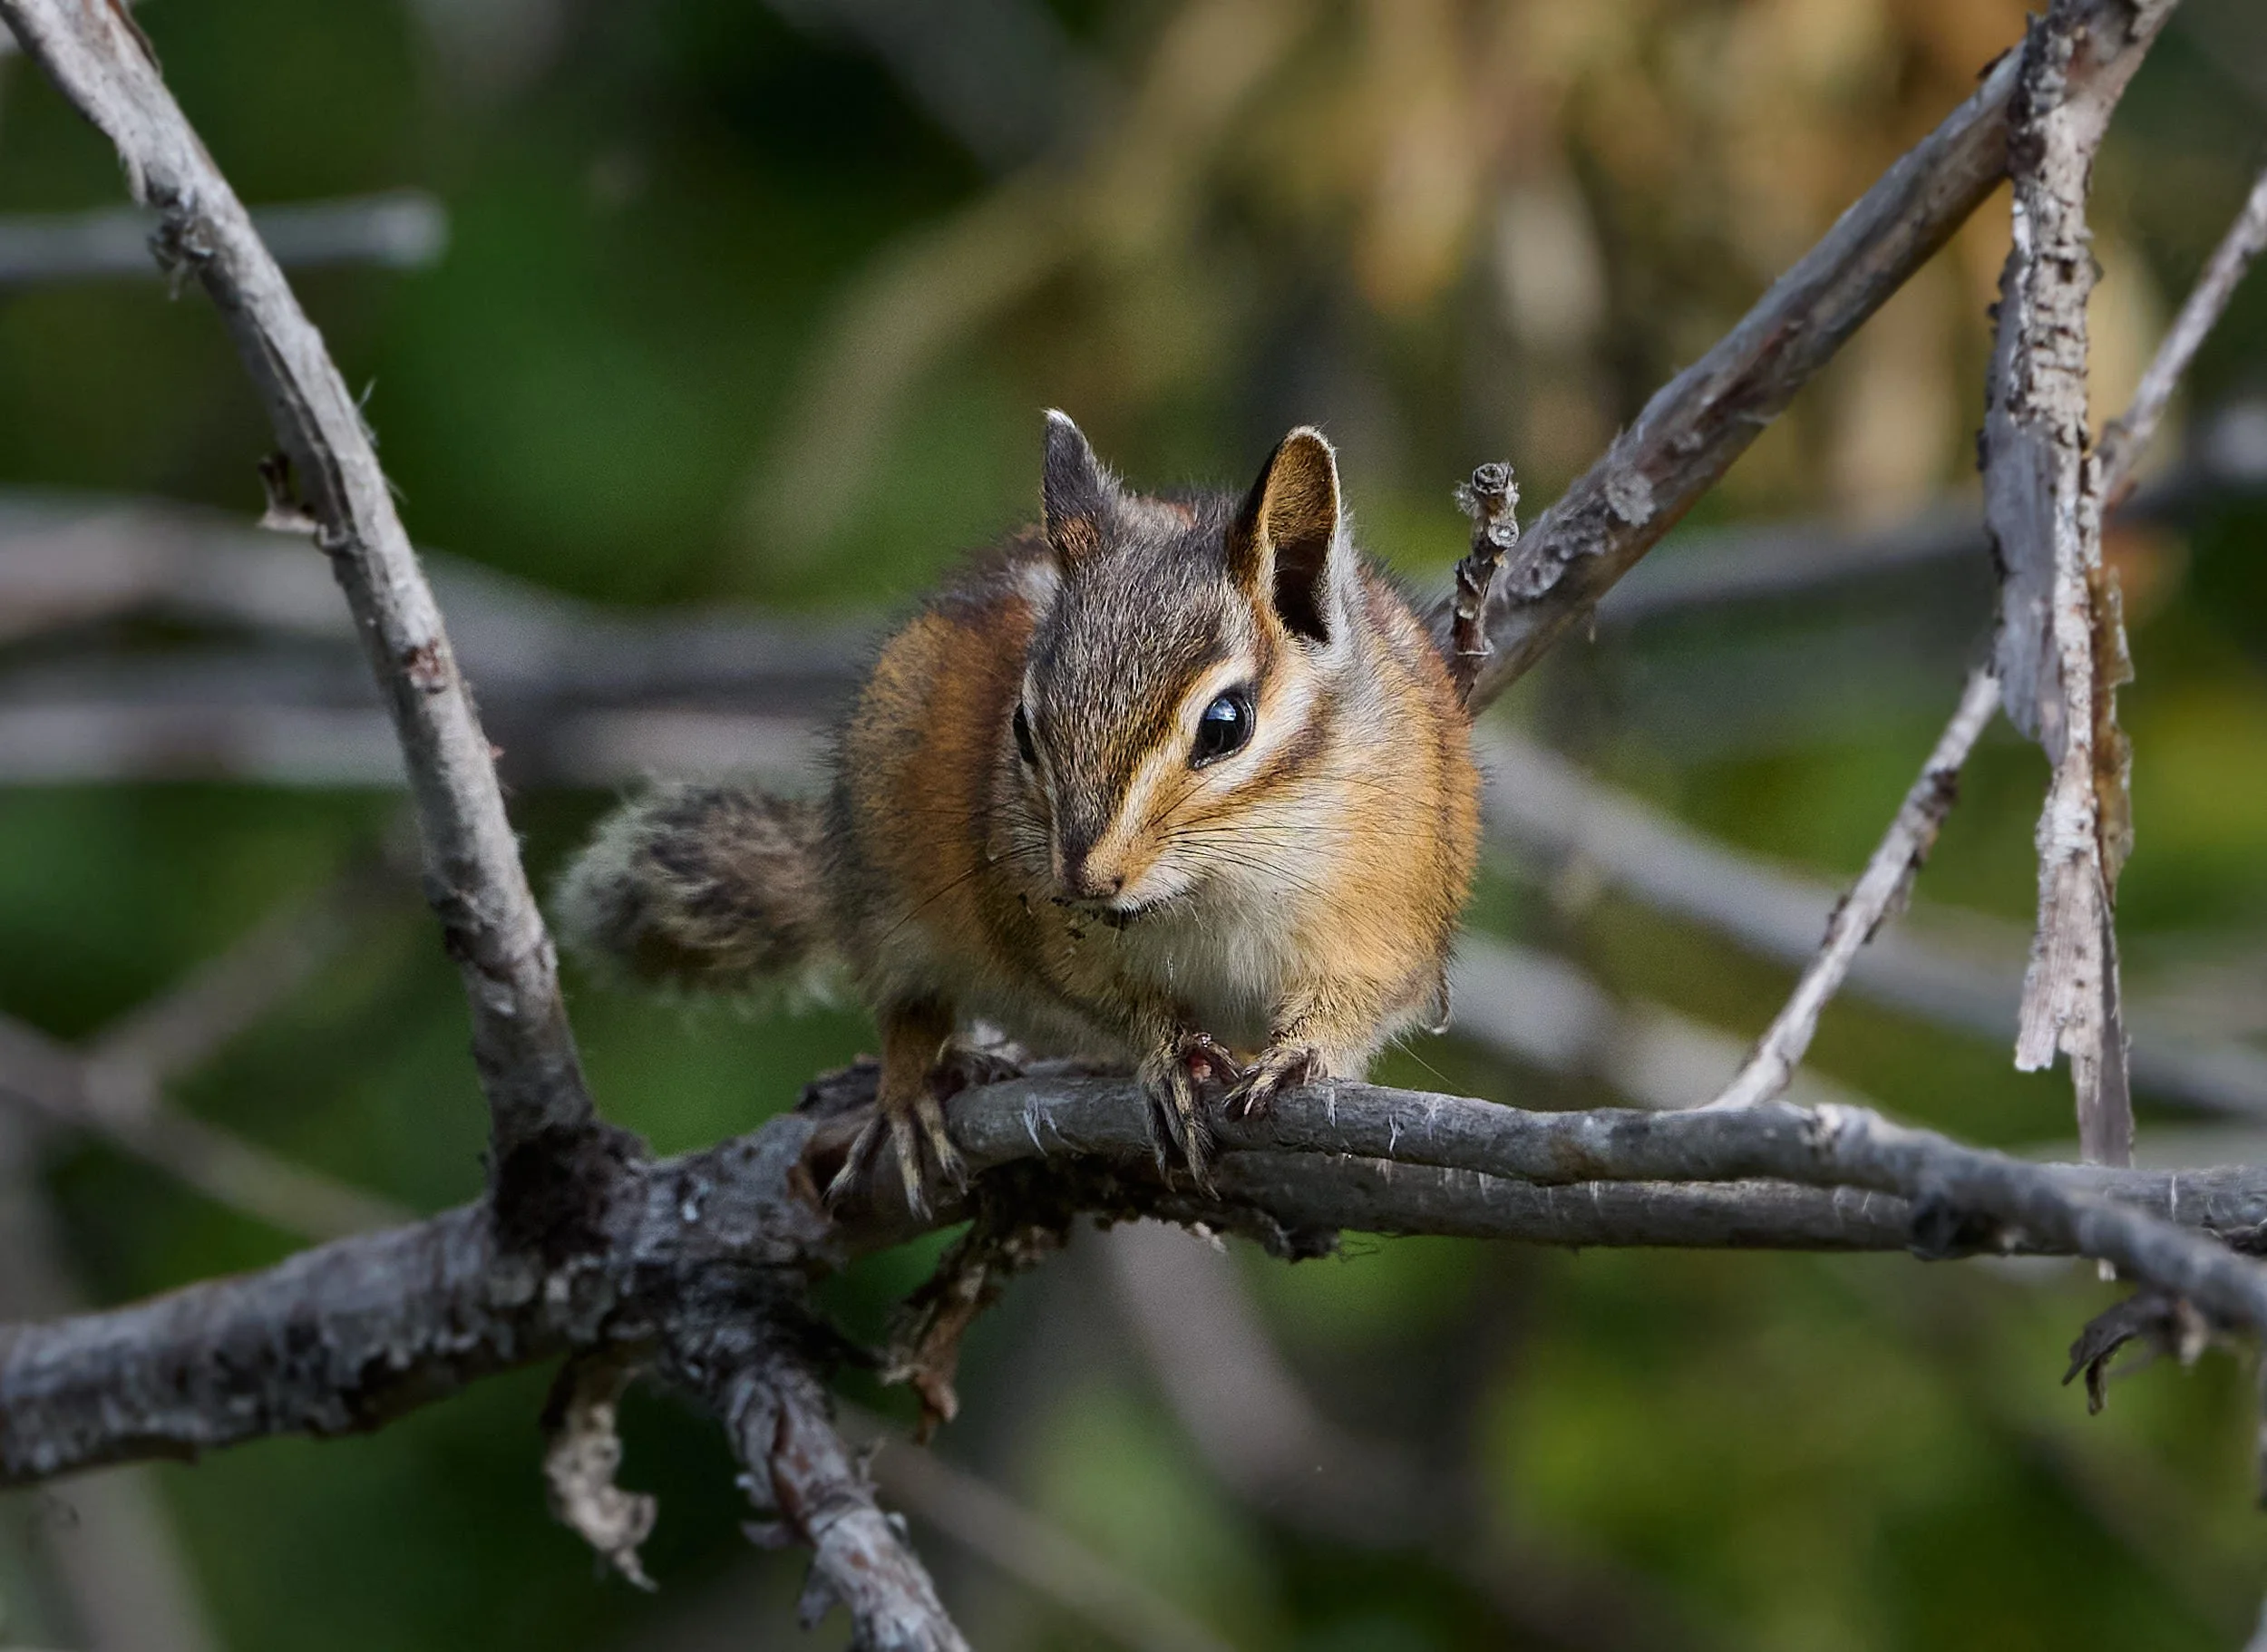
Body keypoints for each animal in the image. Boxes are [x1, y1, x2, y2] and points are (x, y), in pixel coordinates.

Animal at [556, 413, 1480, 1210]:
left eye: (1227, 725)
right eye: (1023, 728)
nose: (1087, 879)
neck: (1222, 885)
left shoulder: (1389, 922)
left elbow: (1363, 999)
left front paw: (1298, 1054)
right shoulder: (1047, 937)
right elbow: (1105, 999)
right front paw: (1165, 1054)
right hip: (887, 874)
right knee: (905, 999)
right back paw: (910, 1095)